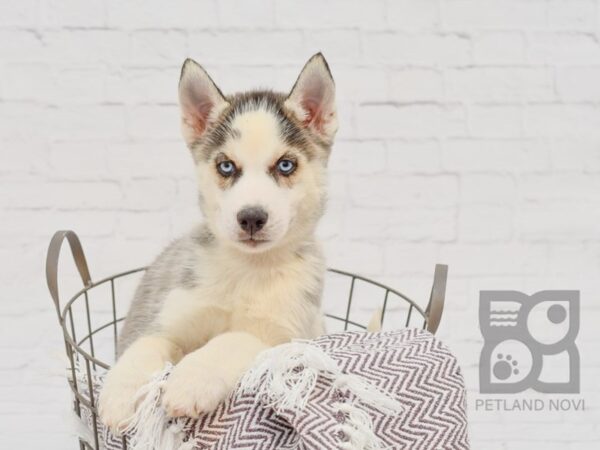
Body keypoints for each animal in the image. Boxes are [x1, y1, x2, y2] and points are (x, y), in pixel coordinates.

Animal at [101, 54, 340, 430]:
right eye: (226, 167)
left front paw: (191, 379)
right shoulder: (168, 321)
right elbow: (145, 344)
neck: (246, 269)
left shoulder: (279, 338)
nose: (252, 217)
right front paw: (120, 392)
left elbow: (232, 339)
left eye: (286, 165)